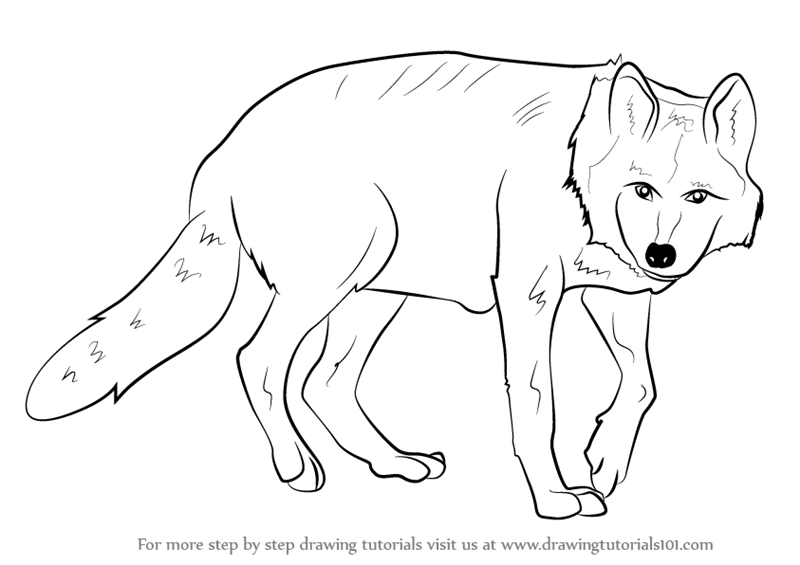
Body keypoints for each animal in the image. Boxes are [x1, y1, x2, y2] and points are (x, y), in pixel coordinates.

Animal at [26, 52, 762, 519]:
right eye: (642, 190)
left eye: (697, 196)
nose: (662, 253)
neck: (578, 168)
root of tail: (222, 152)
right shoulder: (529, 297)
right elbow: (536, 400)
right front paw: (556, 499)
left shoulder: (619, 298)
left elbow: (640, 385)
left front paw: (601, 463)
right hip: (333, 285)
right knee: (258, 362)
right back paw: (296, 468)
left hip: (372, 298)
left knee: (323, 383)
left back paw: (395, 464)